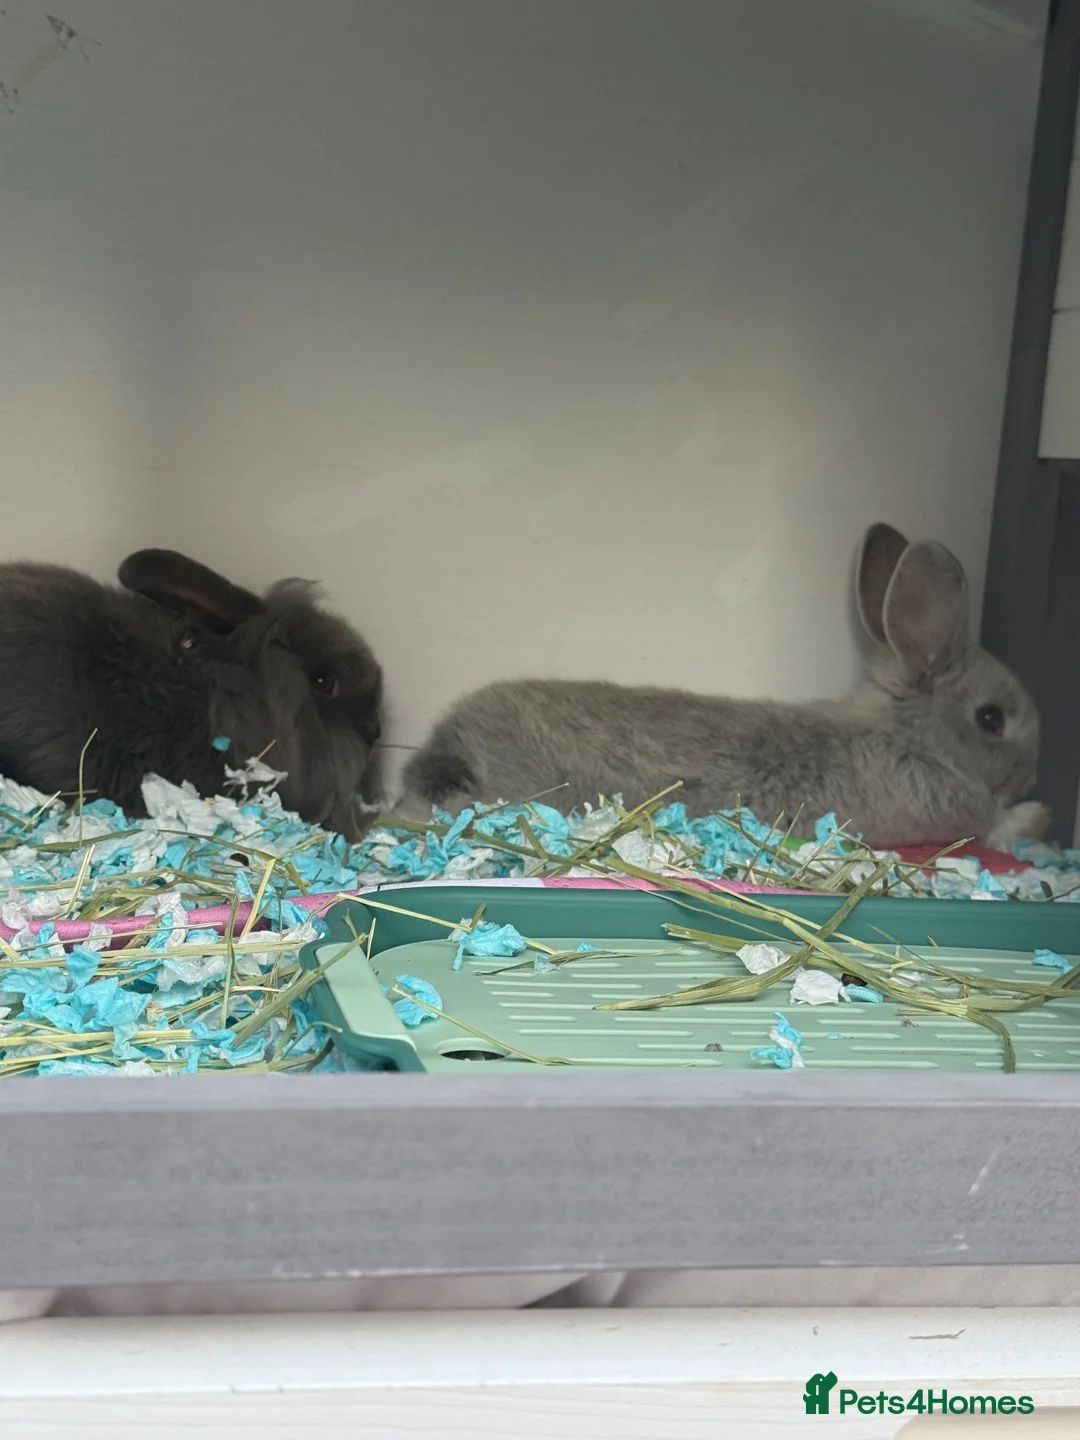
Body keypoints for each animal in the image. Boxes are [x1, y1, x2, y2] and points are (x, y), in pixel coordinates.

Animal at [398, 523, 1049, 850]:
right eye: (991, 718)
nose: (1031, 777)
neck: (908, 735)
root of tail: (440, 756)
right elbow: (992, 829)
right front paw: (1034, 817)